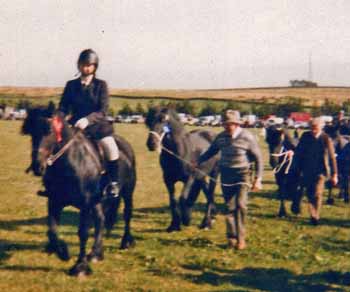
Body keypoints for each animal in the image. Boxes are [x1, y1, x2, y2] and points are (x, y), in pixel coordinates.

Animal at [20, 105, 135, 276]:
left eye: (49, 130)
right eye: (31, 132)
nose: (37, 167)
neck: (71, 162)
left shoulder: (86, 204)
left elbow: (83, 233)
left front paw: (80, 266)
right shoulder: (54, 201)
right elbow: (52, 230)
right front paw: (62, 251)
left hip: (127, 192)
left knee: (127, 214)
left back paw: (125, 242)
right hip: (98, 201)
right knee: (101, 220)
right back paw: (96, 253)